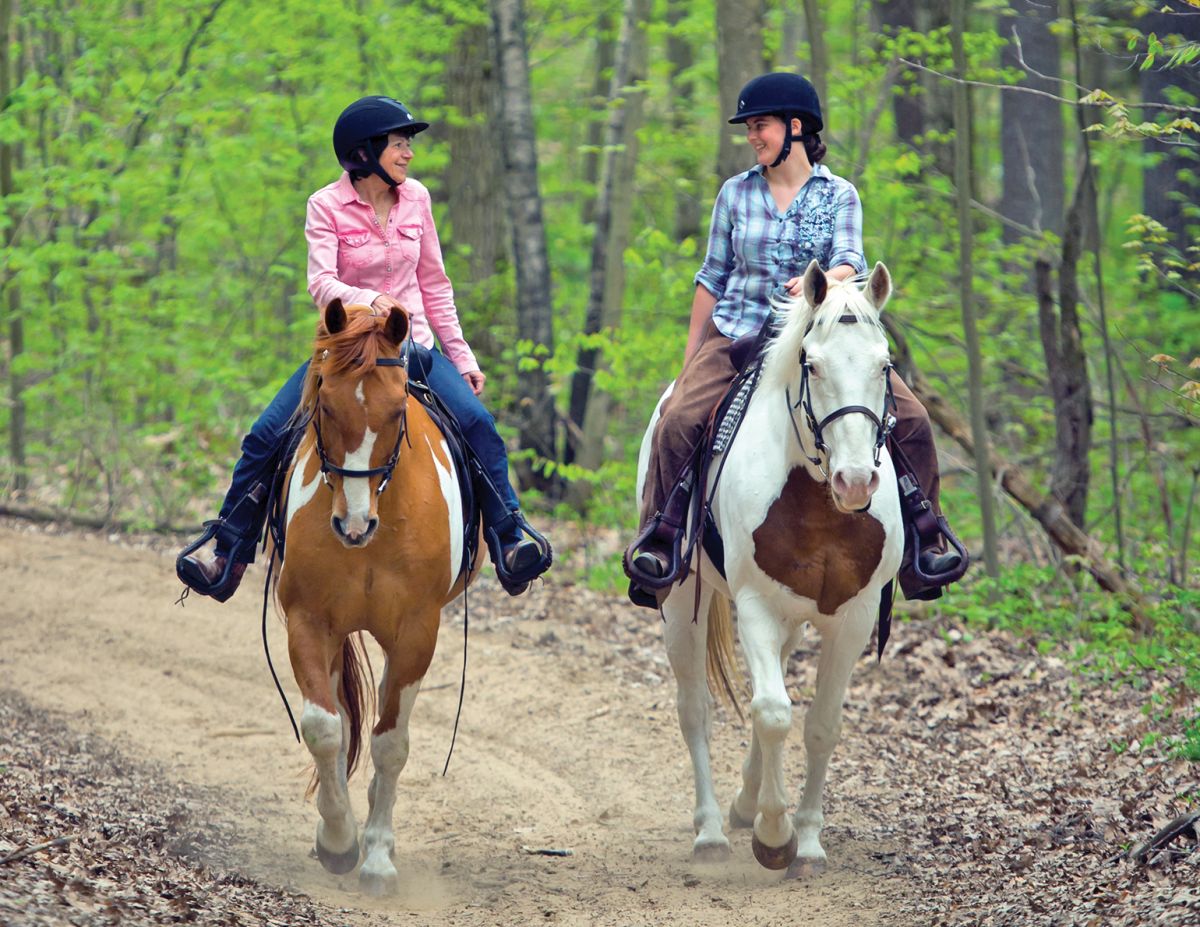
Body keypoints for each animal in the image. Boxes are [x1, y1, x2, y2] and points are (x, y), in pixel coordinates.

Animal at [275, 300, 476, 896]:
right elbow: (325, 729)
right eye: (326, 406)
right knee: (344, 722)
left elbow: (391, 744)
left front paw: (379, 858)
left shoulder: (417, 631)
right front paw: (339, 841)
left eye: (394, 412)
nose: (354, 525)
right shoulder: (309, 621)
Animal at [636, 260, 904, 876]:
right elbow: (775, 712)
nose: (856, 482)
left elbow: (821, 725)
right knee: (696, 709)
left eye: (884, 365)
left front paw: (806, 841)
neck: (817, 501)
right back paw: (712, 831)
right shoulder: (755, 606)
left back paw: (746, 800)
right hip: (682, 602)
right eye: (813, 363)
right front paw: (775, 836)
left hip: (792, 619)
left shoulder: (853, 617)